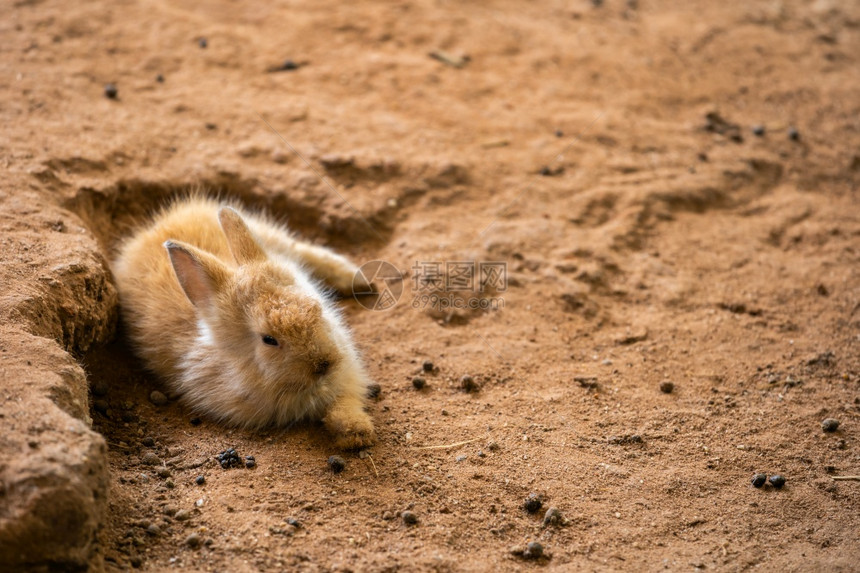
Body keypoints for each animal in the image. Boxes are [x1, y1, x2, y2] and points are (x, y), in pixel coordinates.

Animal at [111, 194, 376, 450]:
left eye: (317, 308)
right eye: (269, 340)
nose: (324, 364)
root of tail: (156, 226)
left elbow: (345, 403)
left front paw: (358, 432)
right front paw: (355, 436)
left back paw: (361, 280)